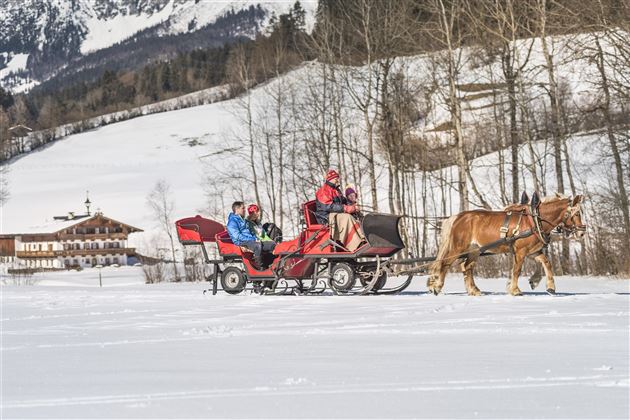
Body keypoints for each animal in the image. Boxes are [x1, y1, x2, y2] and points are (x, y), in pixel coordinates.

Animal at [430, 194, 588, 296]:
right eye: (576, 214)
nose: (581, 233)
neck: (535, 221)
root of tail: (458, 217)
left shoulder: (533, 251)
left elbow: (547, 263)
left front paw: (549, 287)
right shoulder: (520, 251)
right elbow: (517, 270)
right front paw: (515, 290)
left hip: (475, 250)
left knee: (467, 267)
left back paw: (474, 290)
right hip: (458, 247)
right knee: (445, 264)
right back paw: (436, 287)